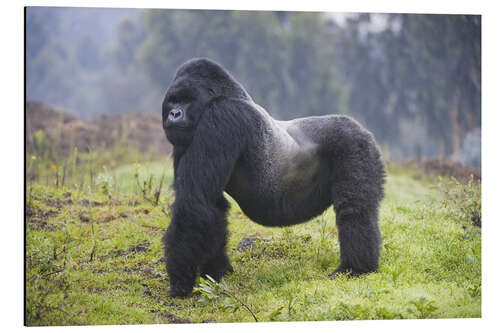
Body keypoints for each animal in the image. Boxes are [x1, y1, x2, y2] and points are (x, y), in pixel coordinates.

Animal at [162, 57, 384, 296]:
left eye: (187, 101)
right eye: (173, 102)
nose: (174, 114)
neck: (222, 96)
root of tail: (360, 127)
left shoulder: (221, 117)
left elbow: (195, 204)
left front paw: (180, 282)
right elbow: (212, 206)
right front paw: (216, 272)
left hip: (355, 144)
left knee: (354, 209)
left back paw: (355, 268)